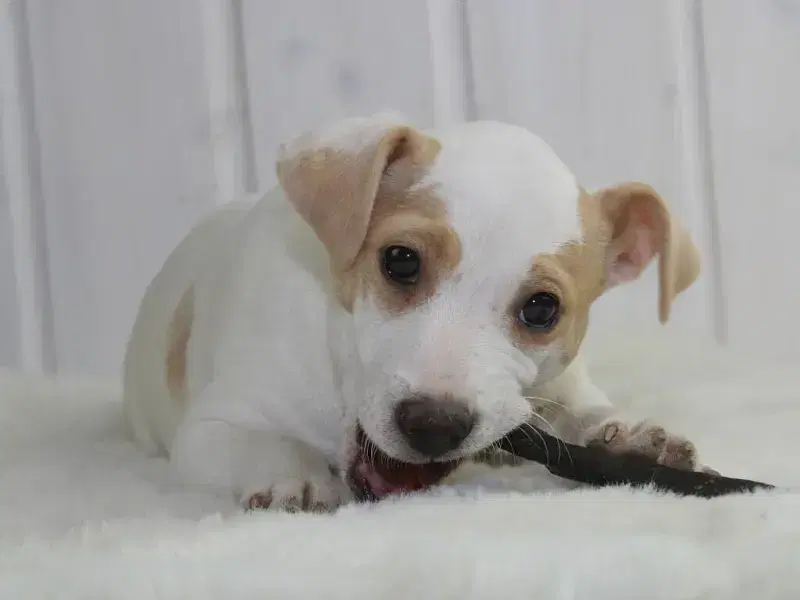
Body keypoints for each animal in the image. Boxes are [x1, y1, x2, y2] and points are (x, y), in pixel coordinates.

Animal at [122, 111, 704, 512]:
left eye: (542, 310)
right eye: (400, 260)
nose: (434, 426)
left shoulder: (561, 385)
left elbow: (582, 408)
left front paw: (630, 436)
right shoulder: (213, 425)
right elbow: (262, 441)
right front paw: (293, 474)